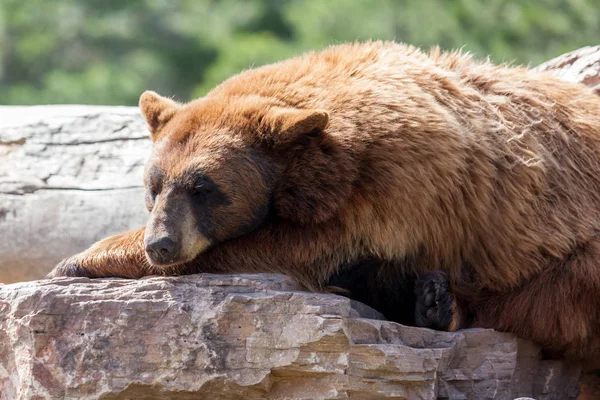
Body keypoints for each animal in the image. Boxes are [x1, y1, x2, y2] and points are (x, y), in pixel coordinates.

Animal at [49, 41, 600, 362]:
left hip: (571, 259)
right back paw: (430, 300)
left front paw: (79, 258)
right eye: (154, 184)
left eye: (204, 189)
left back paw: (441, 306)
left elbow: (287, 247)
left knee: (540, 306)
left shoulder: (394, 189)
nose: (160, 245)